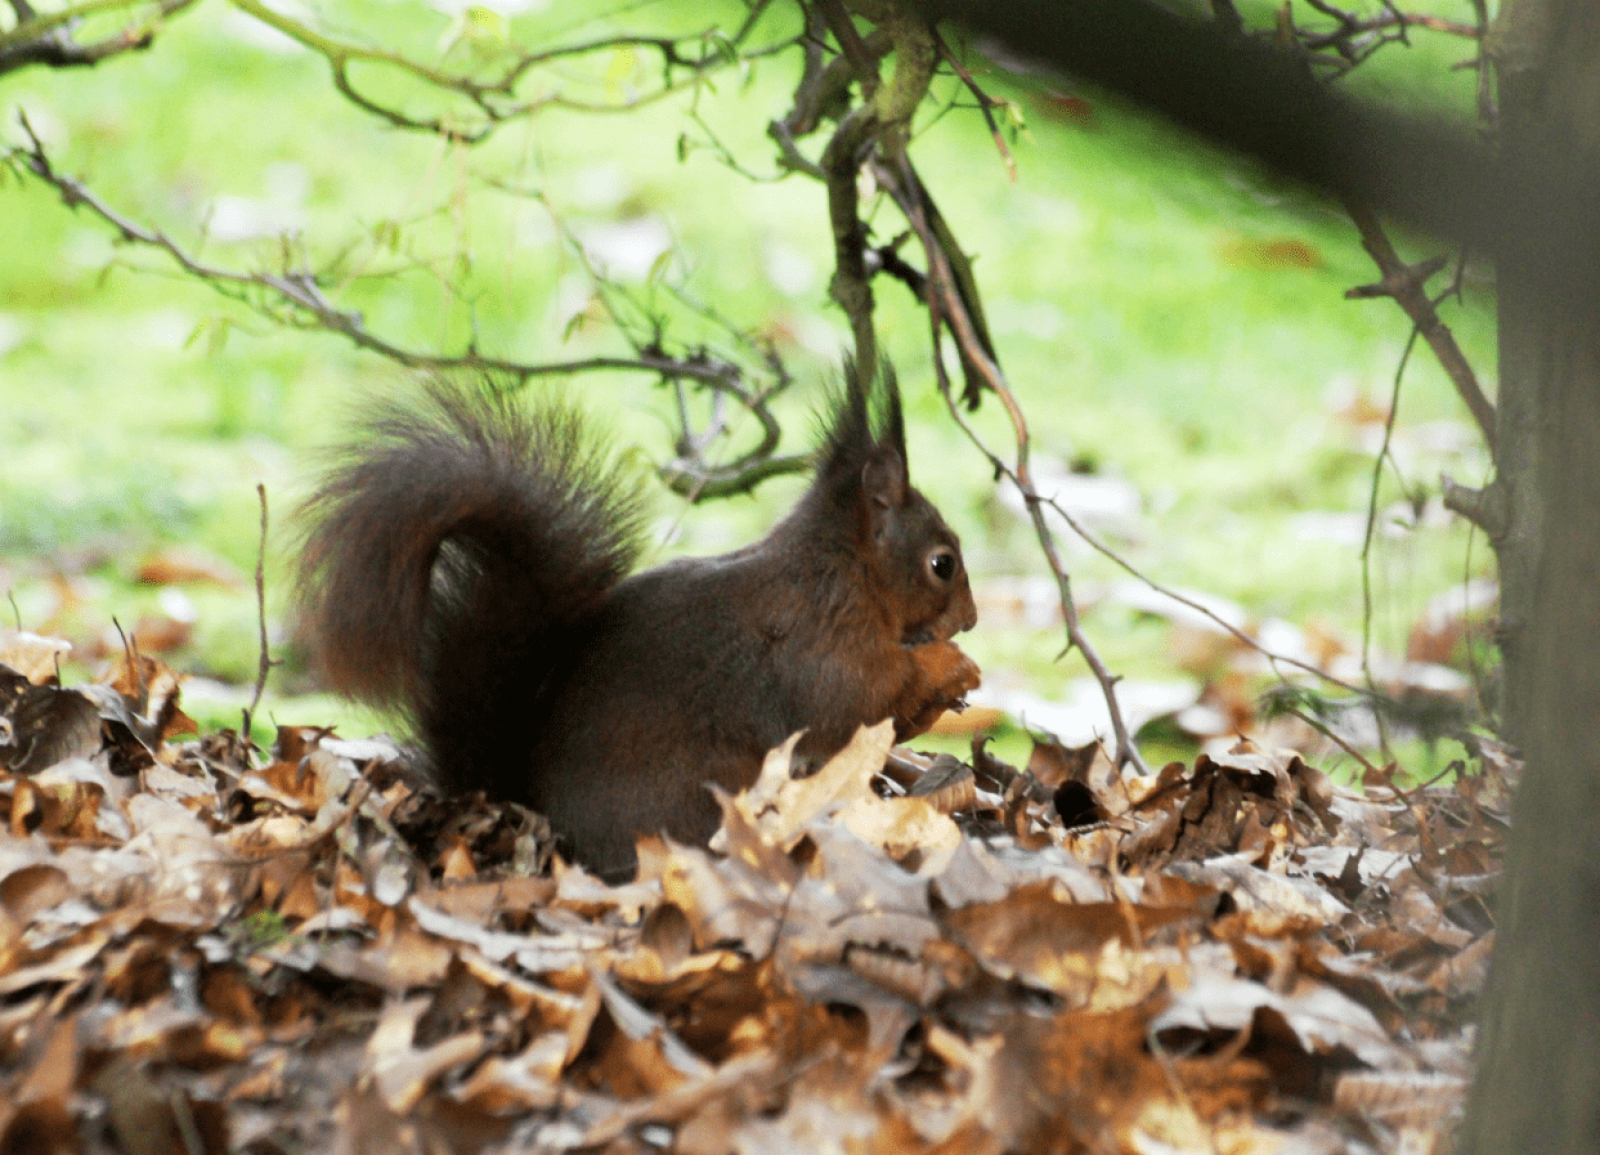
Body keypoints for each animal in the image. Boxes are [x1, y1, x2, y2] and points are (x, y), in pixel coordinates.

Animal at [295, 361, 980, 878]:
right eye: (942, 563)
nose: (971, 620)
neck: (845, 571)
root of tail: (535, 813)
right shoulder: (818, 643)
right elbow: (864, 699)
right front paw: (950, 665)